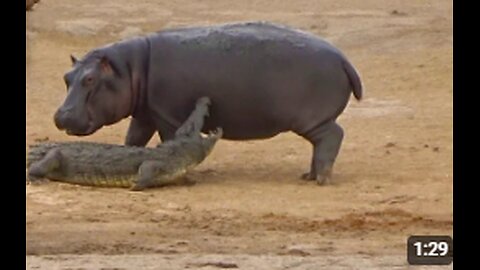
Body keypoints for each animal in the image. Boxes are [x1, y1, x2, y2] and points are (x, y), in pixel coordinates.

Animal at [54, 22, 362, 185]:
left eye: (90, 79)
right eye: (67, 76)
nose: (60, 116)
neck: (130, 69)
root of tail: (344, 58)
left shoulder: (166, 116)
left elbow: (168, 141)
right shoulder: (146, 113)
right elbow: (134, 139)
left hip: (313, 120)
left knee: (332, 136)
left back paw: (321, 179)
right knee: (321, 143)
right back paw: (308, 176)